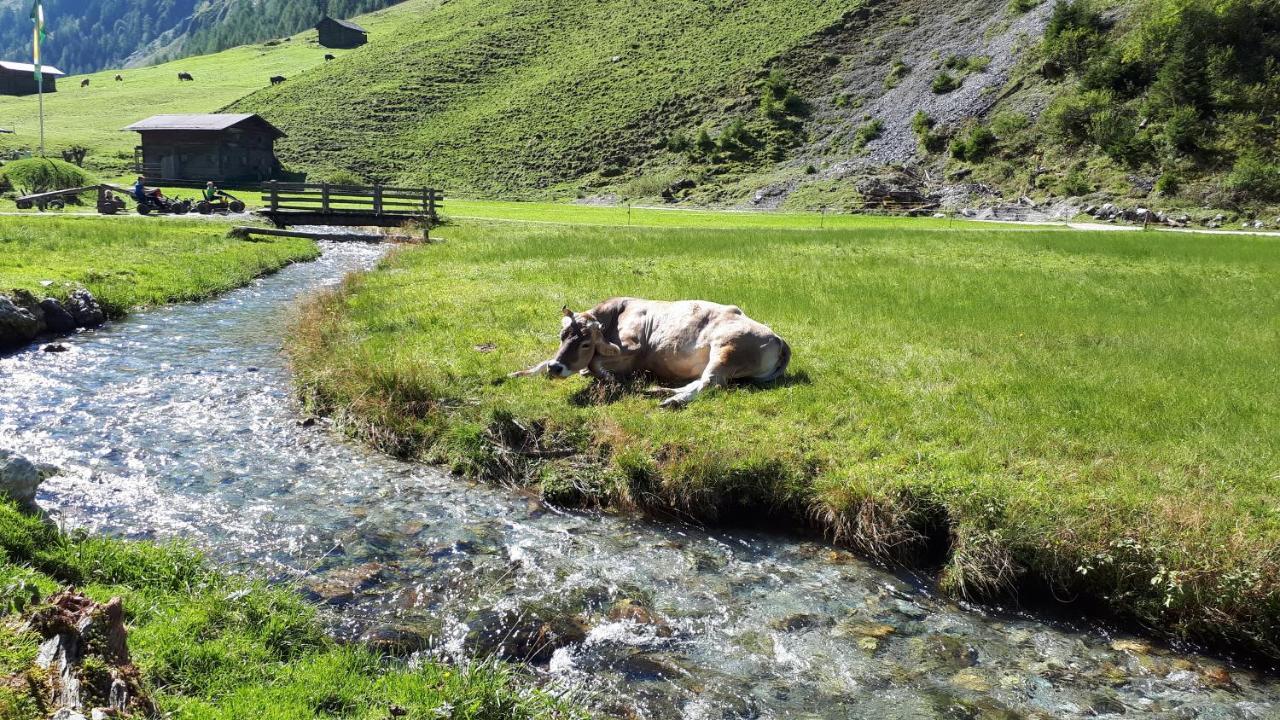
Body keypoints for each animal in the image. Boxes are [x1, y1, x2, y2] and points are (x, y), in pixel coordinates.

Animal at [509, 295, 788, 407]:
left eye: (586, 344)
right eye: (562, 337)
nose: (556, 368)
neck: (616, 314)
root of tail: (777, 336)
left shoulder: (633, 349)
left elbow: (594, 363)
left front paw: (609, 379)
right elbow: (543, 361)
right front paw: (519, 373)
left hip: (725, 350)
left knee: (710, 383)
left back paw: (673, 401)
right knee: (701, 381)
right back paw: (660, 391)